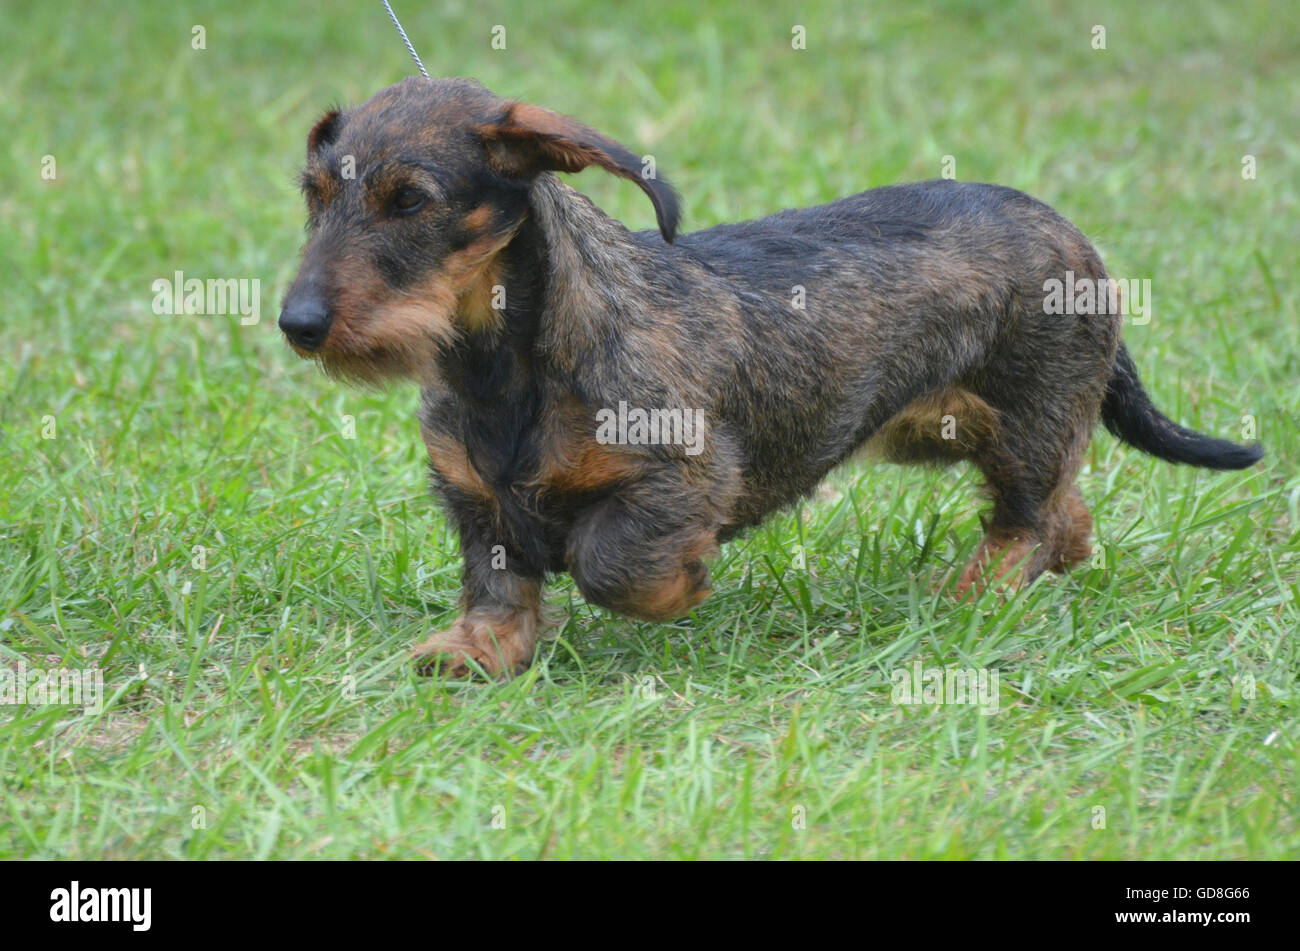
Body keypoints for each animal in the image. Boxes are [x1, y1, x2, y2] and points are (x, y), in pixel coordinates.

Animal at [279, 79, 1263, 675]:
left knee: (1027, 513)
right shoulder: (473, 498)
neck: (503, 368)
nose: (298, 324)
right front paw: (478, 649)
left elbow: (607, 560)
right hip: (951, 428)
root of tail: (1077, 238)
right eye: (314, 196)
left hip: (1025, 420)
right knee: (1065, 508)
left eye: (410, 200)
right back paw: (1054, 561)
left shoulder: (685, 476)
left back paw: (979, 593)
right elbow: (498, 583)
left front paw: (682, 586)